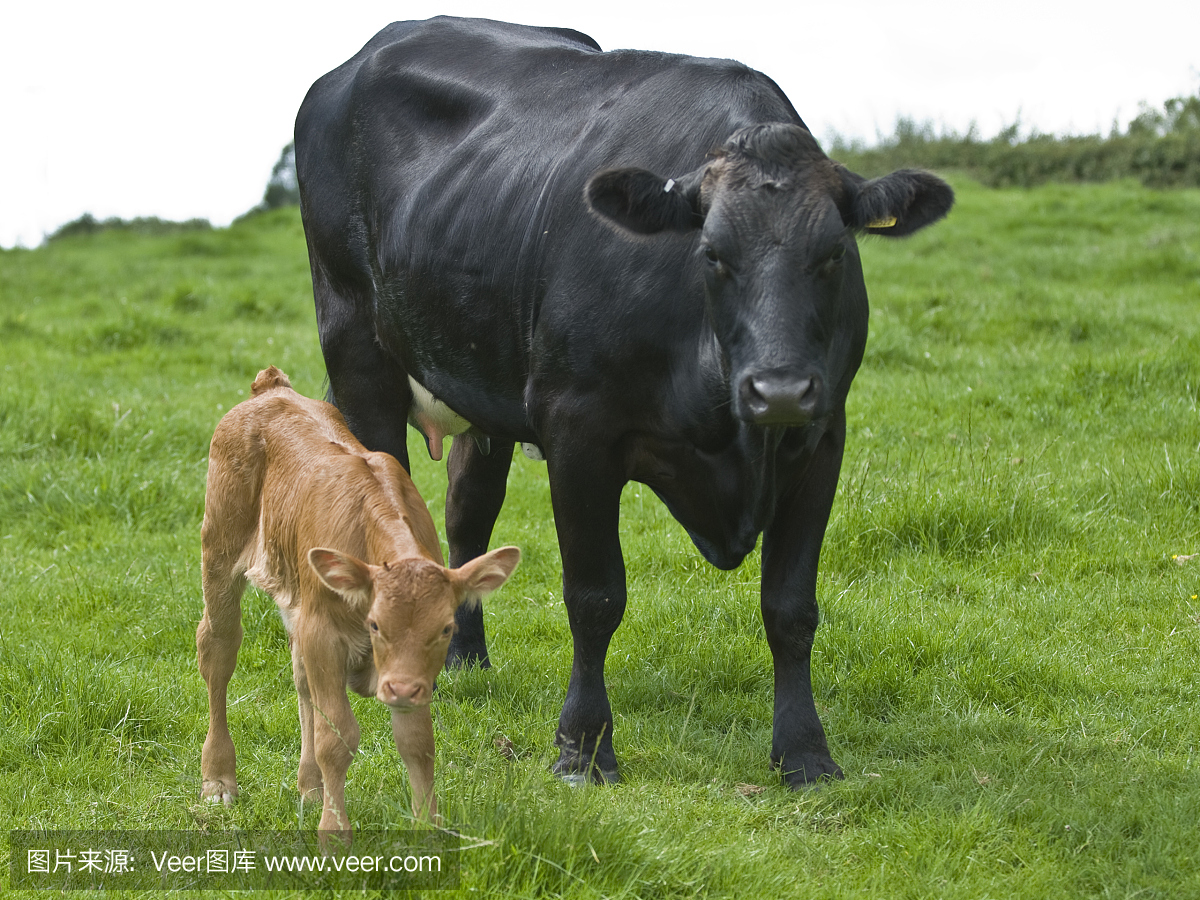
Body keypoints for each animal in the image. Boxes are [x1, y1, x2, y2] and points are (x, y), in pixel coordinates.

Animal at [195, 364, 516, 840]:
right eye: (376, 624)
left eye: (446, 629)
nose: (401, 688)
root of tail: (271, 390)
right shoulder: (324, 634)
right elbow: (338, 737)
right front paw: (334, 831)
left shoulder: (403, 669)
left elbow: (417, 741)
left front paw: (427, 829)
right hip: (219, 550)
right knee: (218, 651)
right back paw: (219, 780)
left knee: (300, 679)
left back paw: (309, 787)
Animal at [295, 15, 950, 787]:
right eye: (712, 254)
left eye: (833, 254)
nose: (780, 387)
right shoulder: (579, 430)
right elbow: (596, 596)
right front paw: (583, 747)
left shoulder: (821, 438)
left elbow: (791, 608)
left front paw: (805, 752)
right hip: (357, 349)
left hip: (481, 386)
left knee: (467, 511)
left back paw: (462, 657)